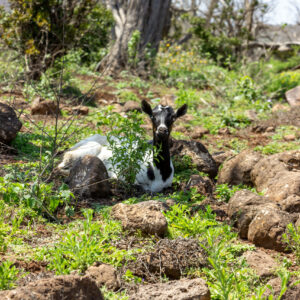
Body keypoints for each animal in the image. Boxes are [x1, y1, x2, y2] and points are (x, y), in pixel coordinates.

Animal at [57, 100, 186, 192]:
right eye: (152, 116)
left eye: (173, 118)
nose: (162, 130)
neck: (159, 174)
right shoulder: (123, 175)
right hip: (85, 150)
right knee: (62, 163)